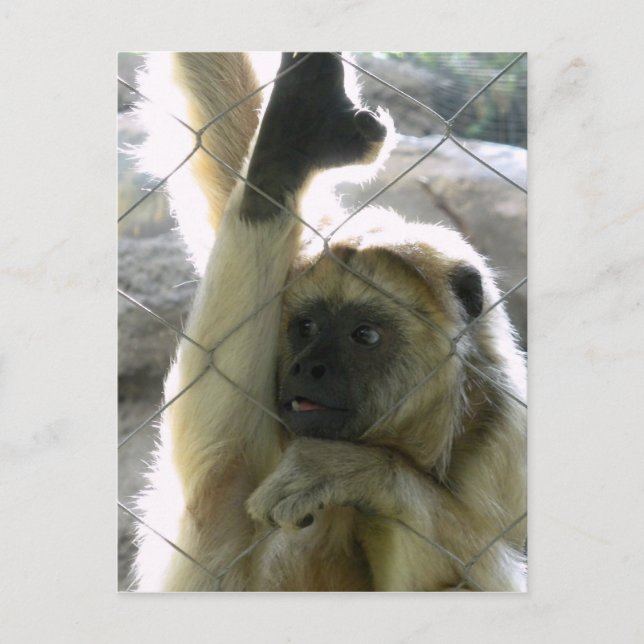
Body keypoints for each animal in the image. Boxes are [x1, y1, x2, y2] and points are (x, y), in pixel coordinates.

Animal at [130, 52, 527, 592]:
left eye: (365, 335)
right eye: (306, 328)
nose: (308, 367)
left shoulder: (506, 441)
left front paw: (359, 473)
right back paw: (286, 151)